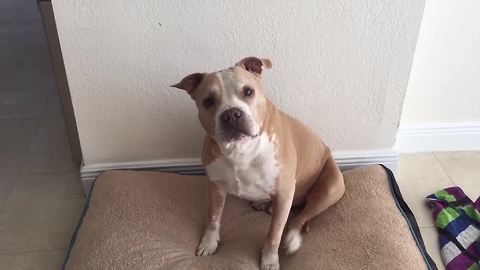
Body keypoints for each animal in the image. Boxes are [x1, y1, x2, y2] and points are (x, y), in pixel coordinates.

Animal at [172, 57, 344, 270]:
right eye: (208, 101)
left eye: (248, 91)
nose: (231, 114)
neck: (240, 151)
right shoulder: (215, 187)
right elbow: (213, 218)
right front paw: (209, 243)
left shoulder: (284, 193)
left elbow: (274, 234)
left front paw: (270, 259)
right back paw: (263, 203)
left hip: (331, 185)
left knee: (300, 217)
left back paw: (292, 237)